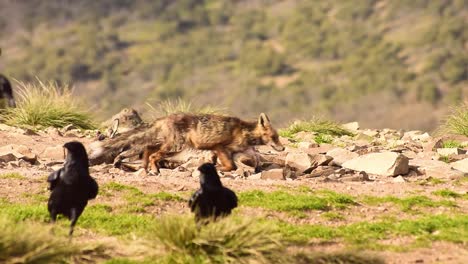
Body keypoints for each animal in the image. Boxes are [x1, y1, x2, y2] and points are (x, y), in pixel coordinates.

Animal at [89, 113, 284, 173]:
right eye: (274, 137)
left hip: (163, 144)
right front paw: (219, 169)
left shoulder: (224, 151)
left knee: (146, 152)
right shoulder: (219, 147)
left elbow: (231, 166)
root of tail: (165, 118)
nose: (282, 148)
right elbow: (231, 166)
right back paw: (153, 169)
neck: (244, 131)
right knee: (152, 155)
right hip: (174, 146)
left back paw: (145, 168)